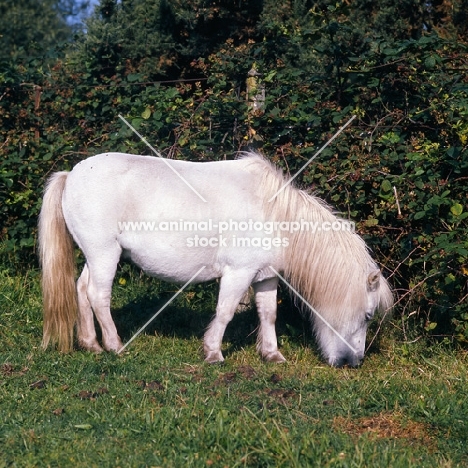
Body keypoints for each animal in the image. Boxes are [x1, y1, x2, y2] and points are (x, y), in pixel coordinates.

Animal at [38, 152, 394, 368]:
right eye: (367, 315)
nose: (353, 362)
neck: (275, 213)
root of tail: (71, 175)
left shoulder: (265, 276)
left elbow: (268, 315)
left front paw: (272, 354)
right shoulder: (239, 273)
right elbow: (224, 312)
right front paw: (213, 352)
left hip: (96, 255)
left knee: (81, 290)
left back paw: (90, 344)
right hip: (105, 254)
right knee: (98, 296)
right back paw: (114, 345)